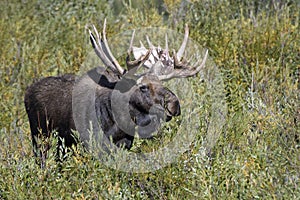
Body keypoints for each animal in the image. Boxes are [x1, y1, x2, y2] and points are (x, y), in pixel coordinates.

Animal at [24, 18, 209, 166]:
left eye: (161, 83)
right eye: (143, 87)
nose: (174, 104)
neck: (117, 124)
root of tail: (27, 92)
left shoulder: (122, 145)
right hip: (40, 134)